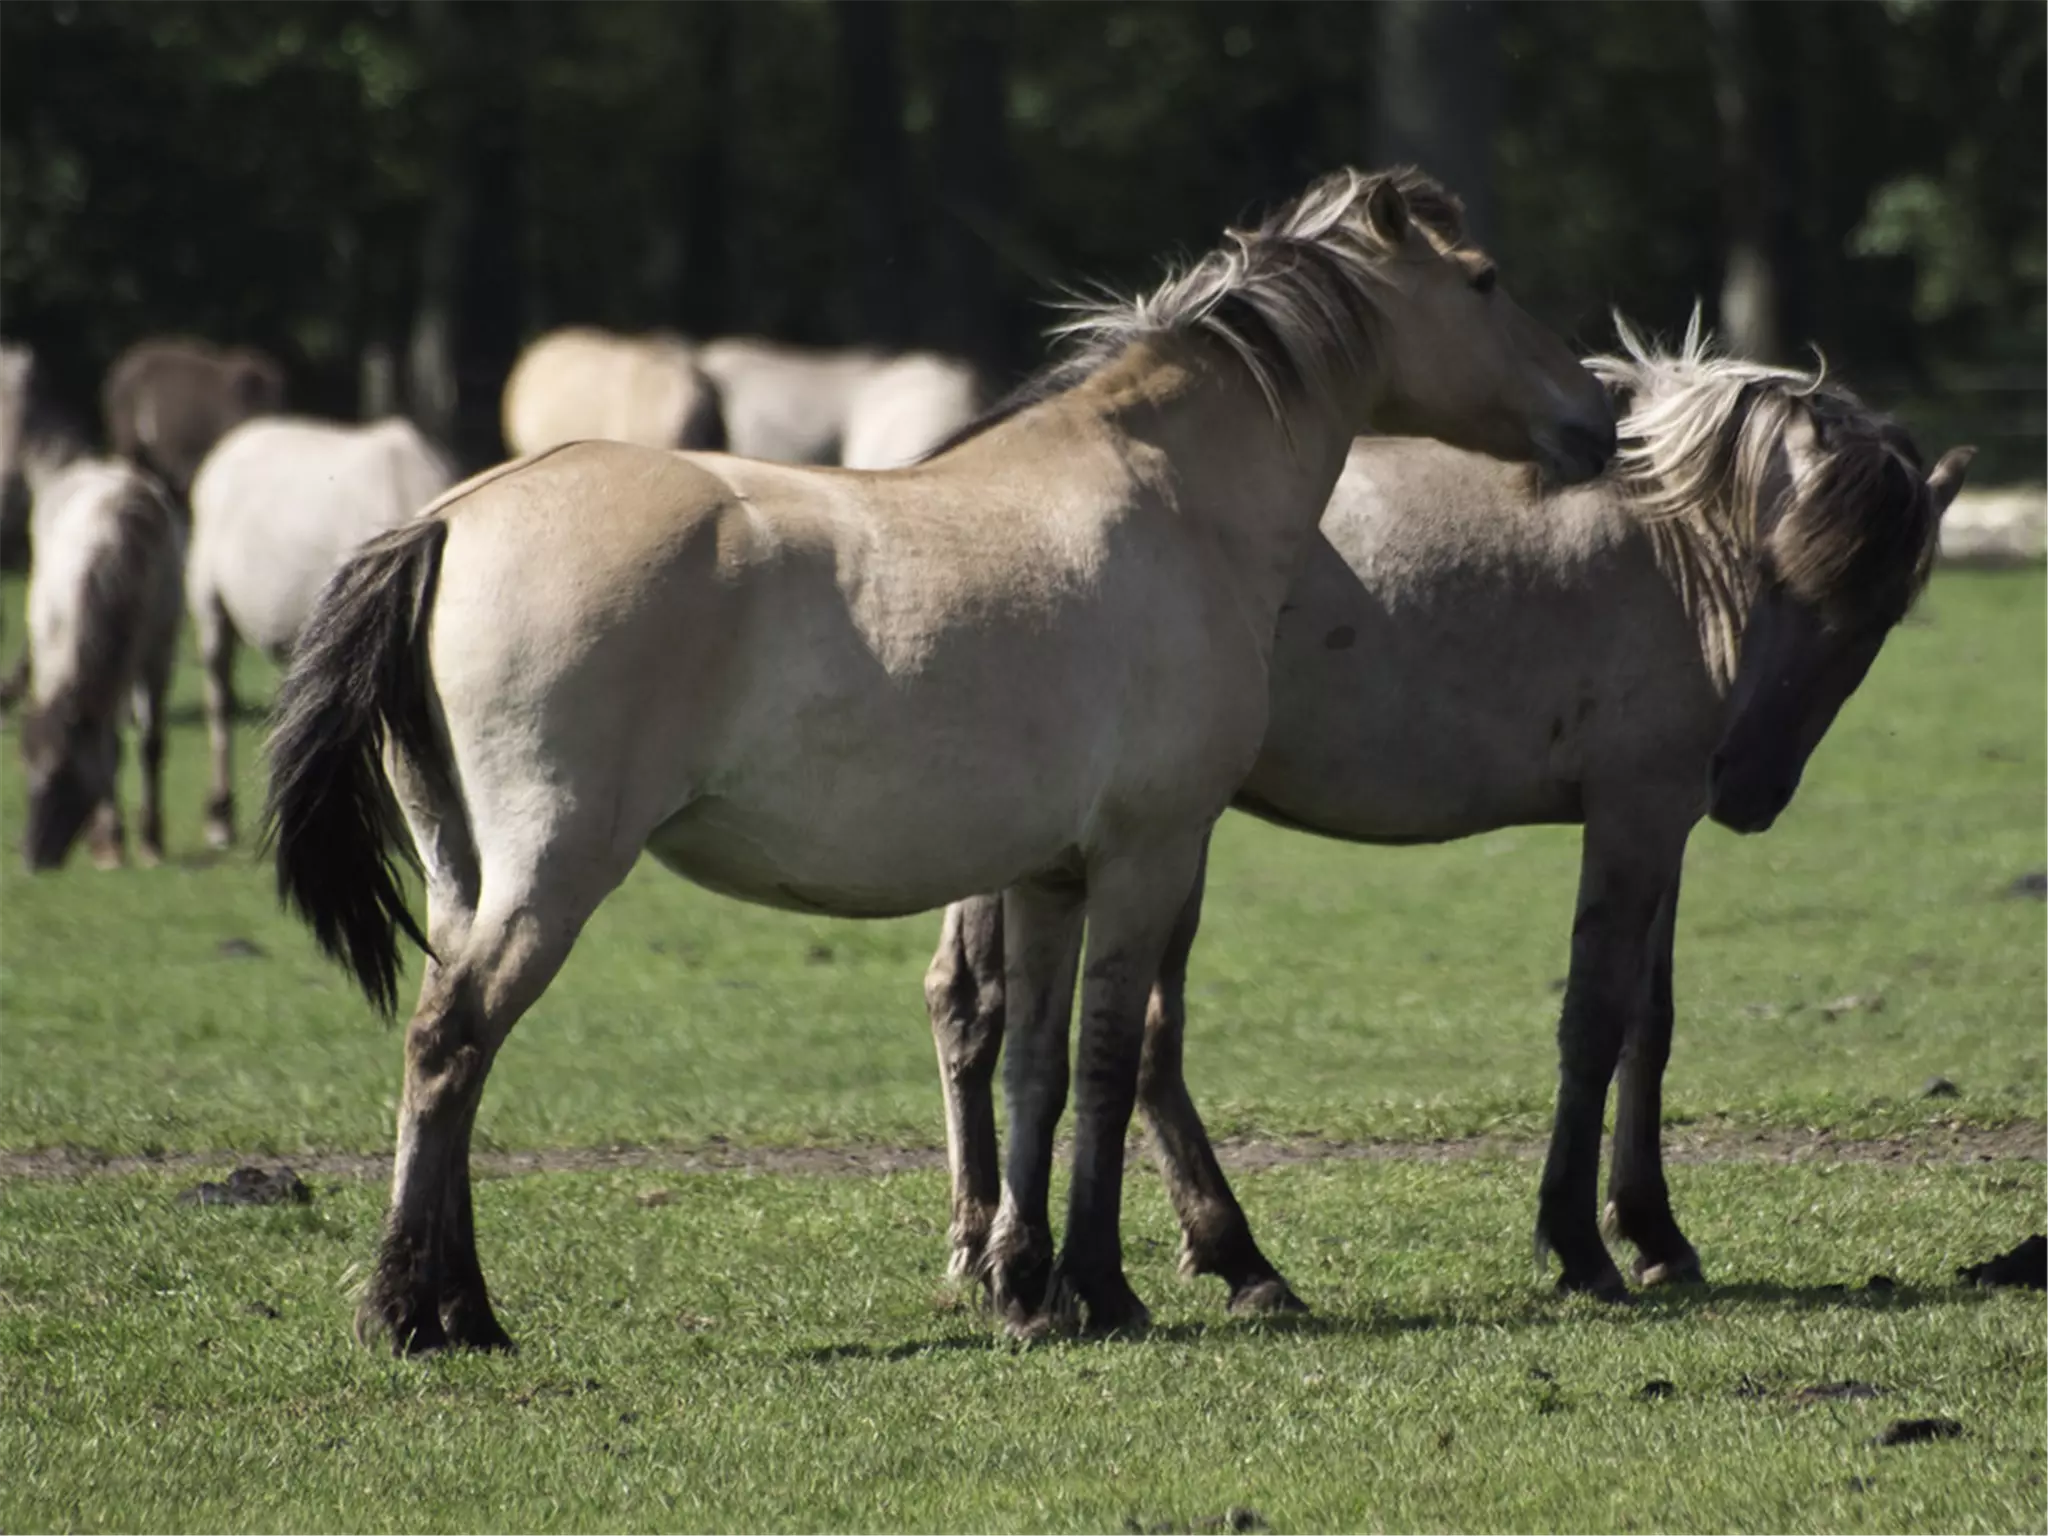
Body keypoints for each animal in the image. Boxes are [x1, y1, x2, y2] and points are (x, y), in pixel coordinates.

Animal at [925, 319, 1966, 1318]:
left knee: (983, 1008)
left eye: (1880, 616)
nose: (1750, 786)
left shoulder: (1665, 820)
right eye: (1785, 575)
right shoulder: (1634, 815)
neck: (1675, 542)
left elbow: (1650, 1023)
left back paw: (1007, 1245)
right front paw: (1581, 1243)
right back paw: (1220, 1256)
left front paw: (1654, 1232)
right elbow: (1594, 1019)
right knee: (1118, 1033)